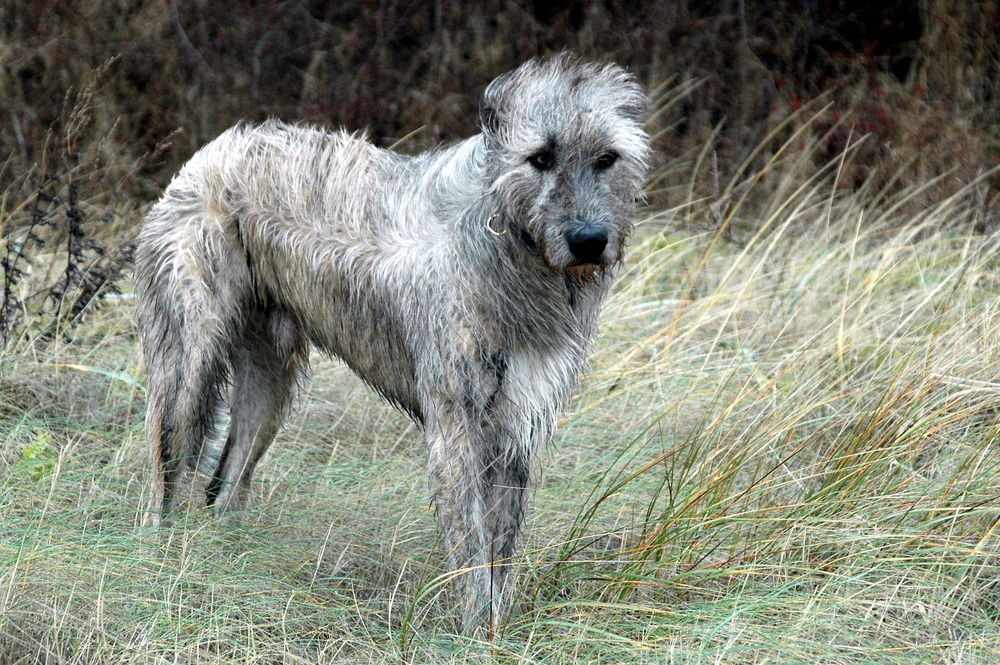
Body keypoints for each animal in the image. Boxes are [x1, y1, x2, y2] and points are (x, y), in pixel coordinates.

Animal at [135, 54, 648, 632]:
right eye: (540, 157)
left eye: (607, 158)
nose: (589, 241)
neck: (508, 243)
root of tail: (210, 151)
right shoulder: (456, 428)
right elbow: (473, 553)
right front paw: (474, 636)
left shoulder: (515, 428)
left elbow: (500, 551)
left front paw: (499, 632)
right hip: (188, 367)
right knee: (167, 473)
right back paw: (157, 563)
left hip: (268, 388)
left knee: (226, 480)